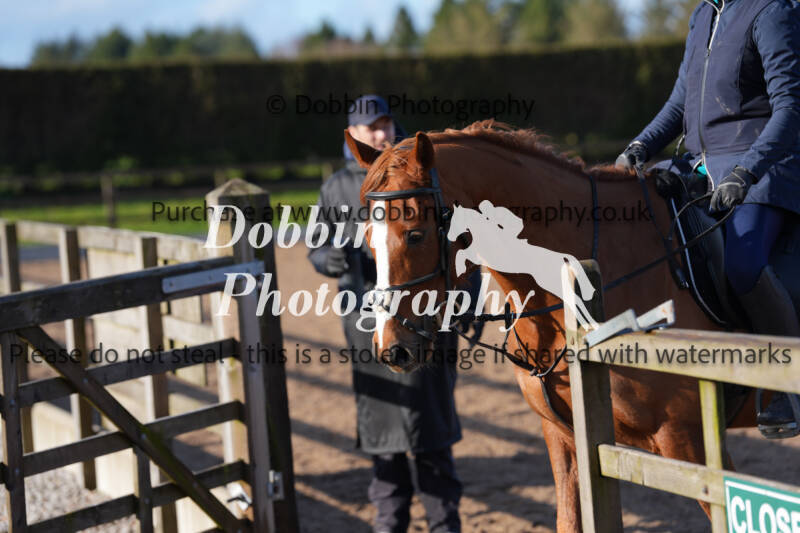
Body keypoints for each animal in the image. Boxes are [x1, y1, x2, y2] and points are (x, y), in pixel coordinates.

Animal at [346, 120, 756, 532]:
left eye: (415, 234)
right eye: (367, 239)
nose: (392, 348)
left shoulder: (690, 445)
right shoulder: (567, 438)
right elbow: (569, 519)